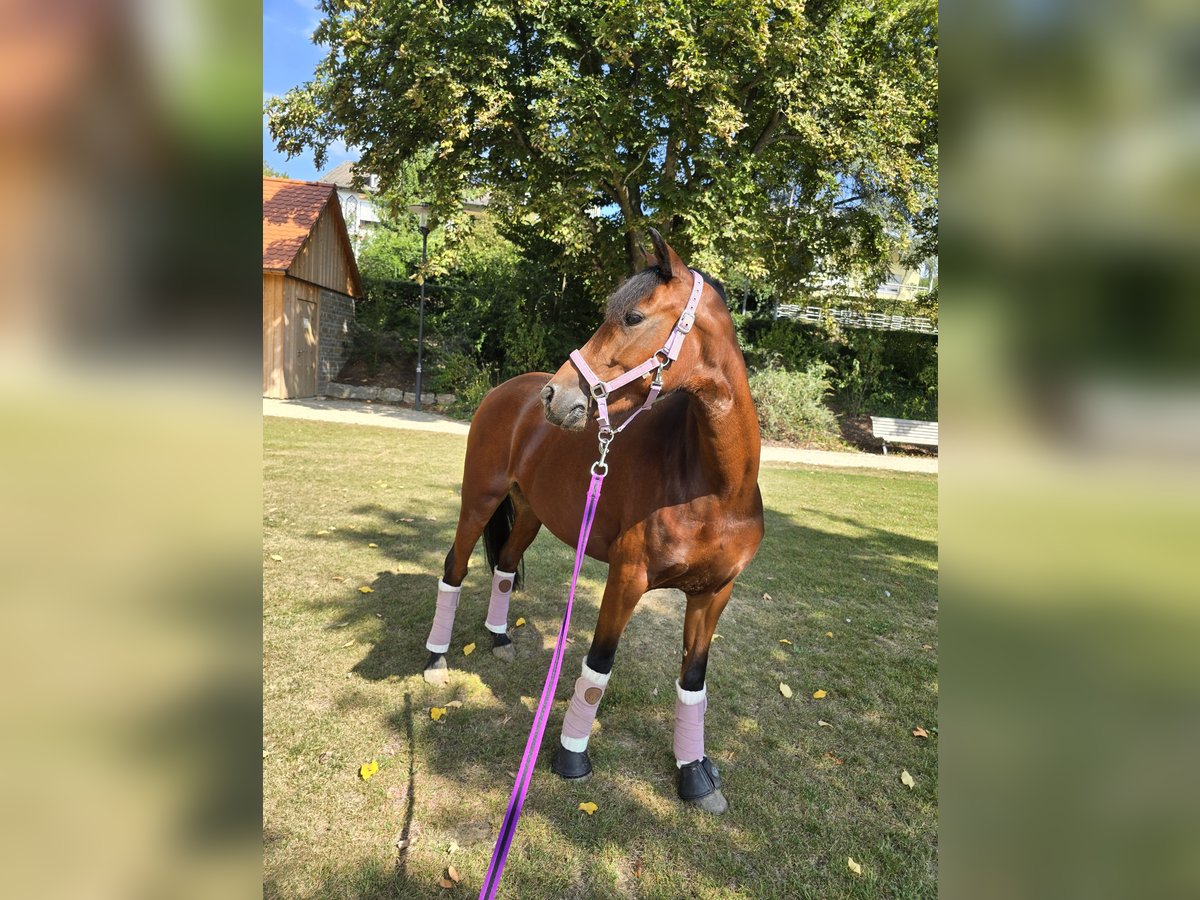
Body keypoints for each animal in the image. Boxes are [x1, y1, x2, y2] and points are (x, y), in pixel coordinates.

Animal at [422, 229, 763, 816]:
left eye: (634, 316)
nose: (556, 397)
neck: (715, 489)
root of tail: (509, 389)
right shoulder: (626, 579)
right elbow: (598, 666)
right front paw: (571, 755)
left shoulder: (714, 593)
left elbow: (693, 682)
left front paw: (694, 773)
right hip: (479, 499)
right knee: (455, 567)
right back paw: (437, 659)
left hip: (531, 513)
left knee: (505, 566)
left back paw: (499, 638)